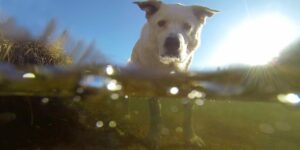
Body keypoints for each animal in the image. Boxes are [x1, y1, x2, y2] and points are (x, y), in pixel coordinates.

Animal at [129, 0, 218, 149]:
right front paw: (154, 137)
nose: (172, 42)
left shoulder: (187, 87)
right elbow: (156, 114)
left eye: (188, 26)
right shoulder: (151, 85)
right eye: (161, 23)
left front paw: (191, 138)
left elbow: (188, 115)